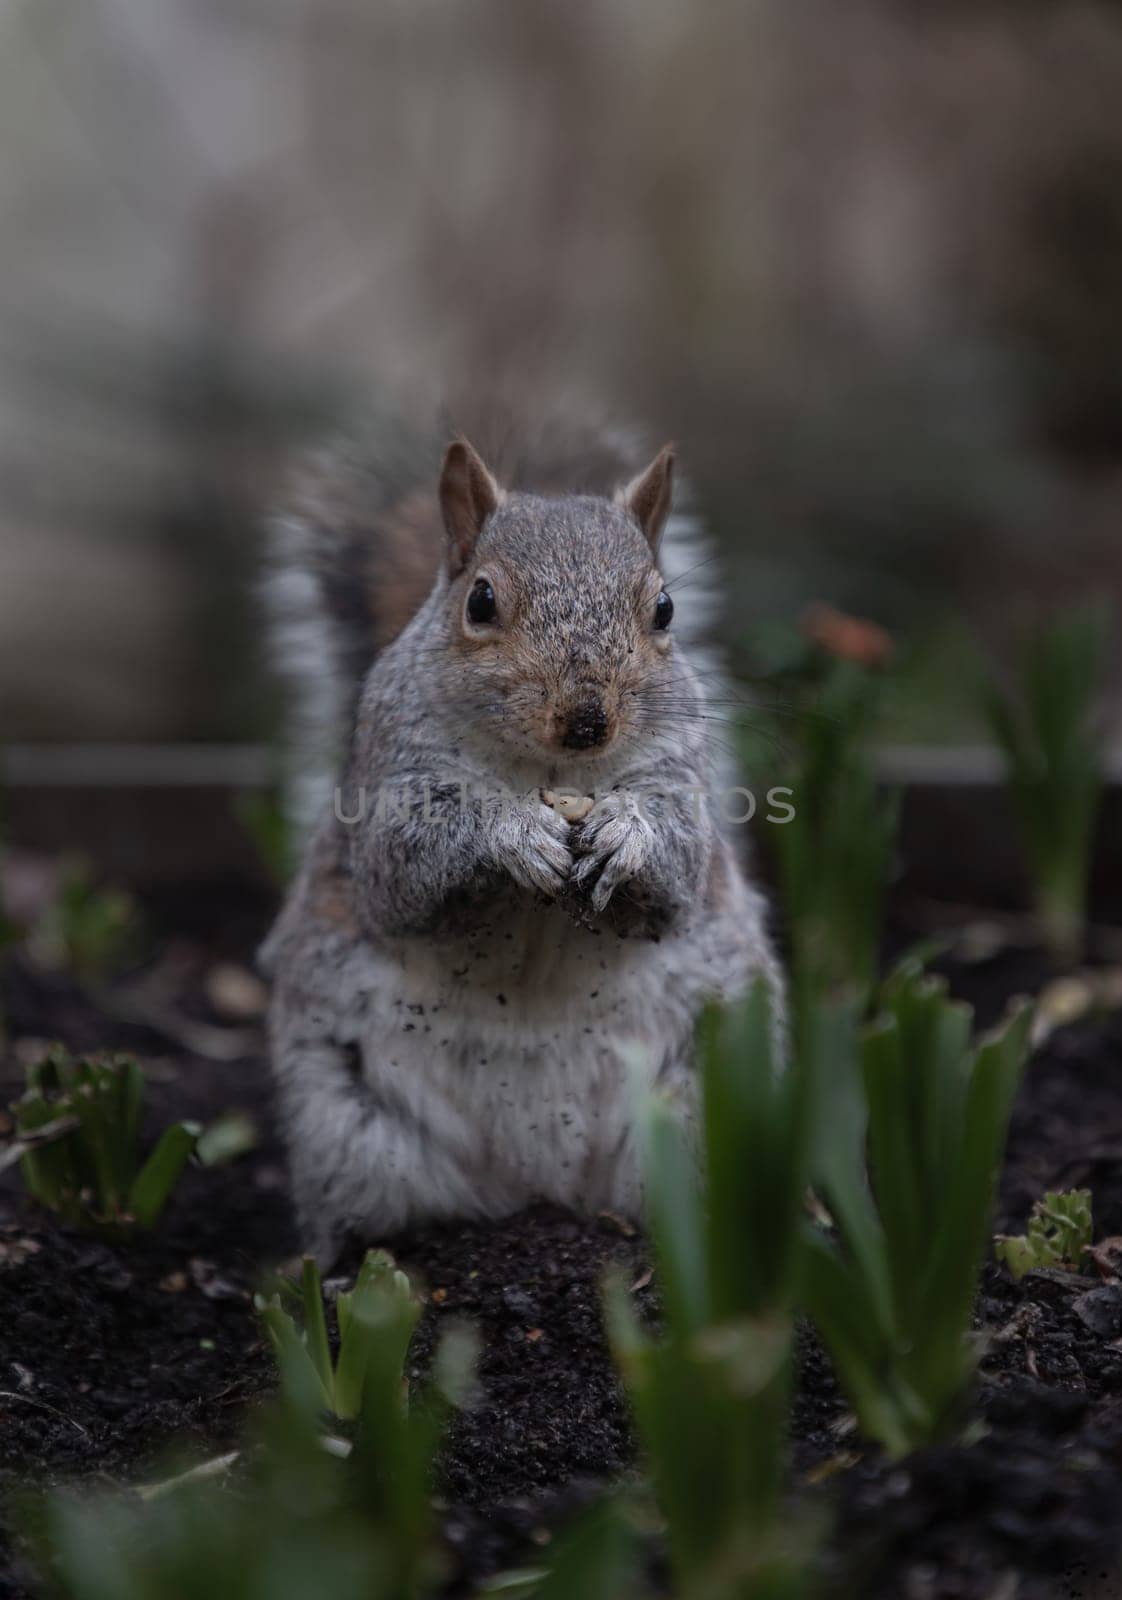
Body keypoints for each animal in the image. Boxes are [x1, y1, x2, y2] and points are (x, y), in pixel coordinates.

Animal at [260, 409, 777, 1260]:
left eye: (665, 611)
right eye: (480, 601)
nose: (587, 719)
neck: (553, 773)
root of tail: (536, 1183)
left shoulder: (683, 783)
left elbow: (678, 871)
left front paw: (625, 832)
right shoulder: (389, 788)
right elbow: (404, 868)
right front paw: (511, 834)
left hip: (711, 1102)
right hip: (345, 1120)